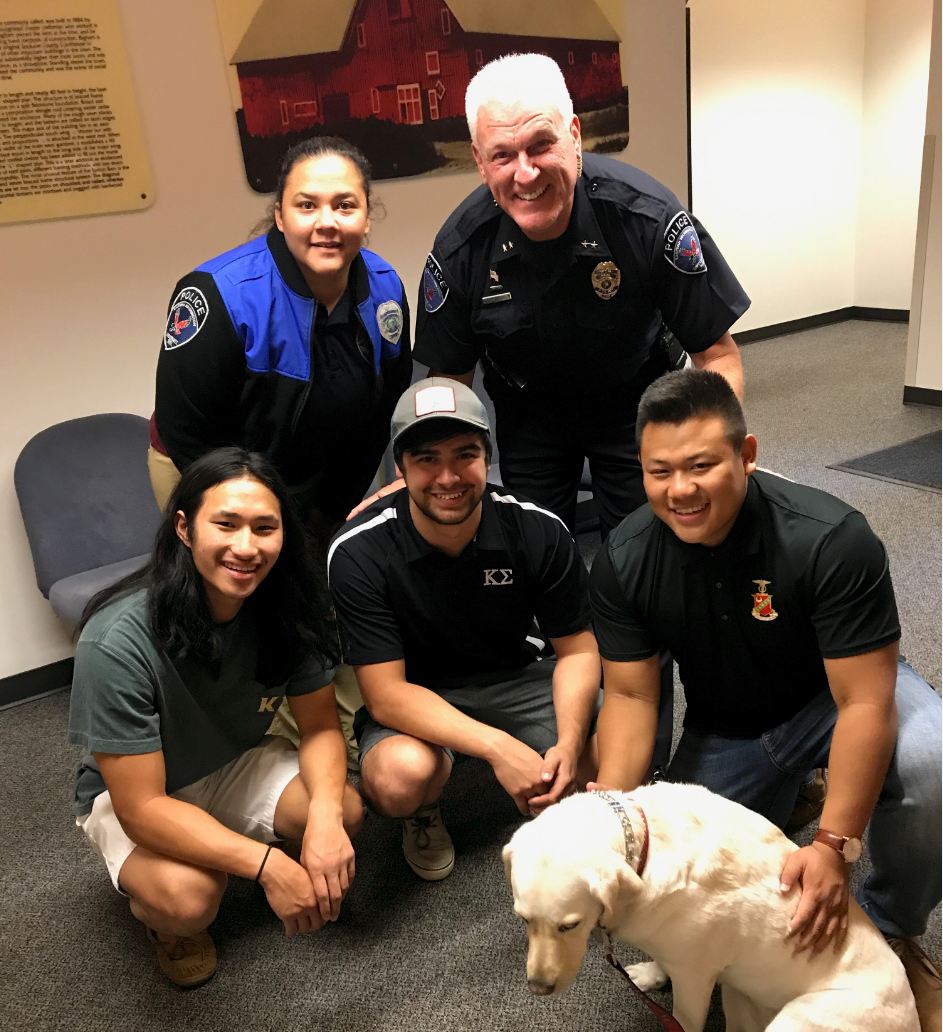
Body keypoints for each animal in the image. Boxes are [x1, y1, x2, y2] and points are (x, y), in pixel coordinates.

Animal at [503, 784, 916, 1027]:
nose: (538, 988)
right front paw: (651, 974)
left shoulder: (695, 978)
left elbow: (684, 1018)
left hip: (805, 1017)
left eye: (569, 925)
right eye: (523, 920)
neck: (646, 851)